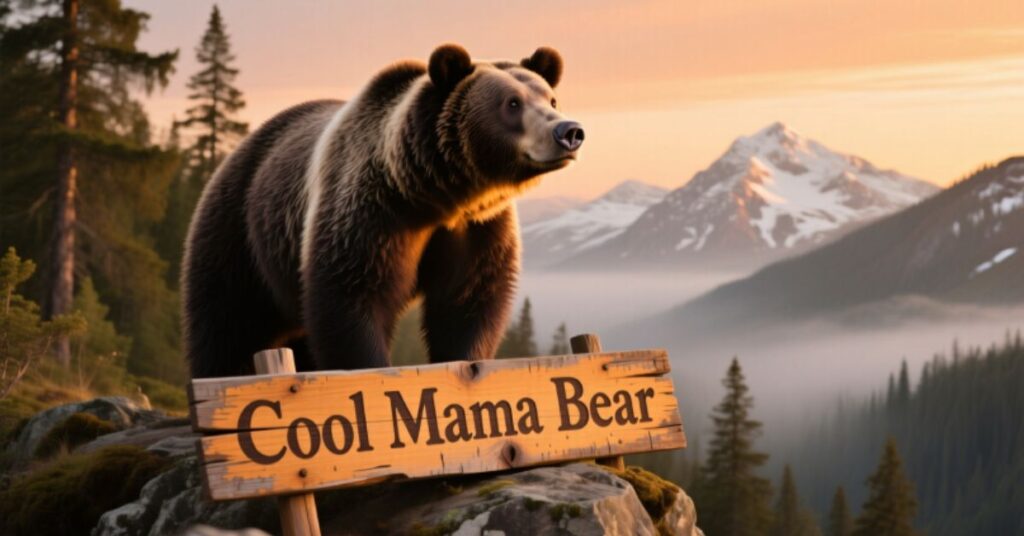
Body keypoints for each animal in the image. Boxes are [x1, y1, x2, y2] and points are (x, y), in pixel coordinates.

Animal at [182, 44, 584, 378]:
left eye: (551, 98)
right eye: (512, 103)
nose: (569, 131)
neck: (438, 194)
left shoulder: (477, 226)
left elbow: (469, 299)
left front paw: (467, 362)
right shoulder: (372, 213)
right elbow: (352, 297)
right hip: (238, 236)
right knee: (224, 325)